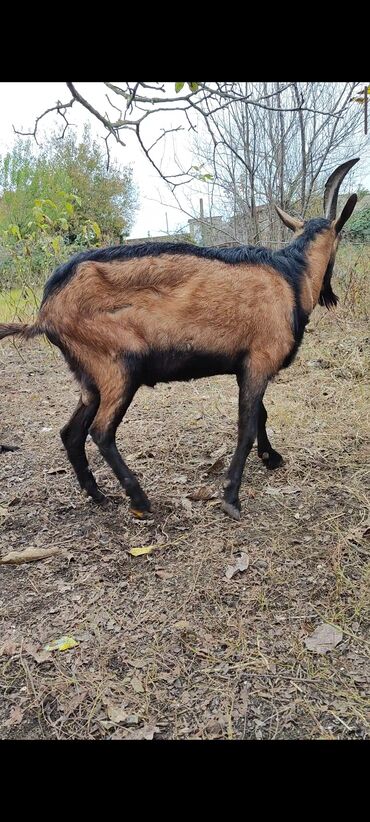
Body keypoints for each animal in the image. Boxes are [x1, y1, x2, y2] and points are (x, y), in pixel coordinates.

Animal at [0, 161, 358, 520]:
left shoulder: (247, 363)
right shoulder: (260, 359)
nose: (329, 294)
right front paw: (231, 497)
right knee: (100, 431)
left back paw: (97, 494)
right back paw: (139, 500)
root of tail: (46, 311)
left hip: (89, 376)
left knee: (71, 432)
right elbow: (247, 427)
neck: (291, 277)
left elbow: (261, 415)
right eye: (339, 241)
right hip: (118, 365)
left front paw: (271, 458)